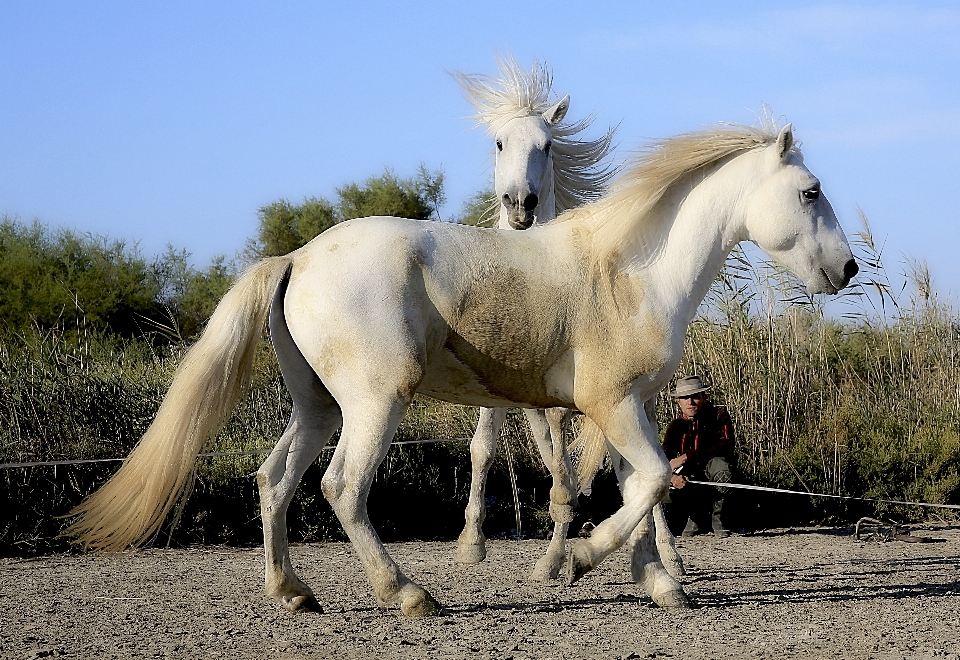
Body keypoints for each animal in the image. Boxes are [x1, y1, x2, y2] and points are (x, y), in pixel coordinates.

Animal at [71, 118, 860, 620]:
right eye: (811, 189)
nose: (848, 269)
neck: (632, 271)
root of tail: (296, 257)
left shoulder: (626, 407)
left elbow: (641, 489)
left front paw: (660, 587)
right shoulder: (611, 405)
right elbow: (653, 484)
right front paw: (582, 561)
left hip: (319, 407)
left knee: (274, 480)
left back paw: (294, 594)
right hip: (374, 405)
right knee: (342, 488)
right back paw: (410, 596)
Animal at [448, 59, 616, 580]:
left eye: (547, 145)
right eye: (499, 143)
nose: (520, 203)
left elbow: (560, 461)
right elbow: (484, 447)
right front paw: (470, 544)